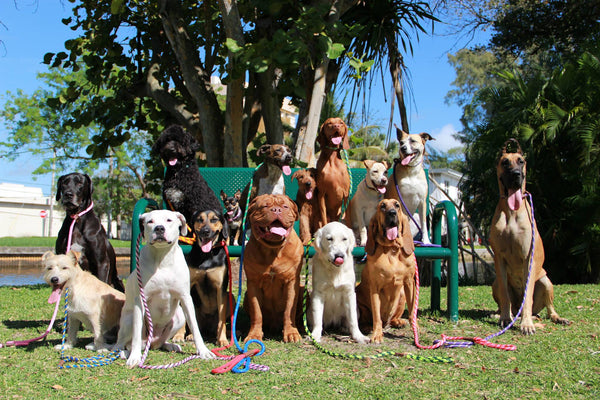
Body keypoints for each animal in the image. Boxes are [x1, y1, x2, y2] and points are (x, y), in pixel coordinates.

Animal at [113, 211, 214, 368]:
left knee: (161, 342)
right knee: (122, 342)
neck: (162, 259)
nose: (159, 228)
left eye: (169, 220)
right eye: (150, 221)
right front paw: (134, 357)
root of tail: (151, 342)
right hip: (129, 319)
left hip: (179, 316)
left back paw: (170, 345)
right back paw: (122, 352)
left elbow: (195, 327)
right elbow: (136, 334)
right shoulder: (140, 301)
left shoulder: (185, 297)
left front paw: (203, 351)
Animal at [178, 209, 230, 346]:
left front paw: (222, 339)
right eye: (199, 219)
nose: (205, 231)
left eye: (214, 219)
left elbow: (222, 319)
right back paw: (191, 335)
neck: (207, 255)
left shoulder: (221, 288)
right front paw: (178, 335)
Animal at [241, 195, 302, 342]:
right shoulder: (253, 284)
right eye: (265, 206)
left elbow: (289, 310)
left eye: (285, 207)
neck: (273, 250)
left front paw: (291, 333)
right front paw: (254, 335)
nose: (276, 210)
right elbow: (257, 312)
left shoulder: (292, 283)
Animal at [356, 198, 418, 342]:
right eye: (382, 206)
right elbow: (376, 316)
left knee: (393, 318)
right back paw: (367, 328)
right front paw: (377, 335)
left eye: (397, 205)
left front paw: (416, 331)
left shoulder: (409, 283)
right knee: (368, 320)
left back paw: (398, 322)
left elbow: (412, 311)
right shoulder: (375, 288)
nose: (392, 213)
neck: (391, 249)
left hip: (402, 294)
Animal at [490, 139, 568, 336]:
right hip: (495, 283)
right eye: (505, 162)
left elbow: (528, 297)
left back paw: (555, 318)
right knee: (507, 301)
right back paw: (502, 314)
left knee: (547, 308)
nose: (516, 175)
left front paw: (526, 325)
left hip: (545, 281)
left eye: (521, 161)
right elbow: (505, 295)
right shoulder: (499, 258)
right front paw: (504, 318)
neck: (511, 213)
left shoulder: (528, 257)